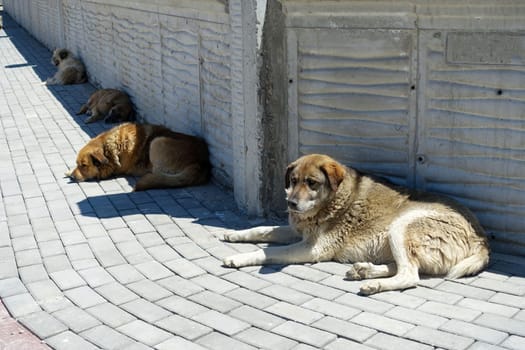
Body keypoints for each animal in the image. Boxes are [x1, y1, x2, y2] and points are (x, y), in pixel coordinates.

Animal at [66, 121, 210, 190]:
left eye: (84, 165)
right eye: (77, 164)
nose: (72, 177)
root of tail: (202, 164)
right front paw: (68, 171)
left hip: (157, 142)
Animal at [220, 154, 488, 294]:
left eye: (312, 182)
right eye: (293, 180)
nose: (291, 204)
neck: (333, 199)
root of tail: (481, 239)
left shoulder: (311, 249)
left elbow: (267, 252)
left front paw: (238, 257)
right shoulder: (298, 232)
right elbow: (262, 230)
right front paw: (233, 235)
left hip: (401, 226)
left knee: (410, 275)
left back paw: (374, 282)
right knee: (406, 267)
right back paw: (365, 271)